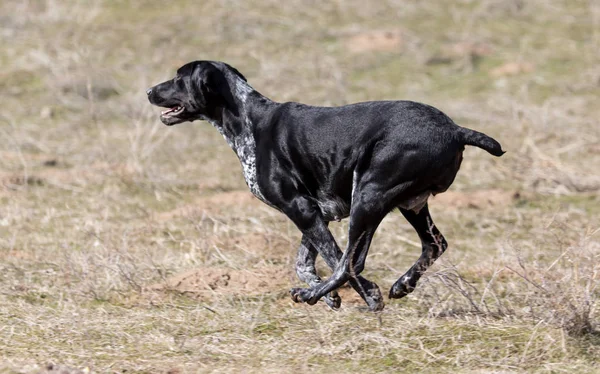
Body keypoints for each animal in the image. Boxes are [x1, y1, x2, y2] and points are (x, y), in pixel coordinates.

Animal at [148, 61, 504, 312]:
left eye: (179, 77)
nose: (150, 91)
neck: (248, 122)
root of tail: (455, 130)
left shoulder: (301, 208)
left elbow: (333, 257)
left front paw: (364, 295)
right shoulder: (317, 212)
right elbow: (304, 261)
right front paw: (331, 297)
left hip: (368, 195)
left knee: (351, 262)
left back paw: (315, 295)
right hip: (410, 205)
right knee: (435, 245)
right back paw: (402, 285)